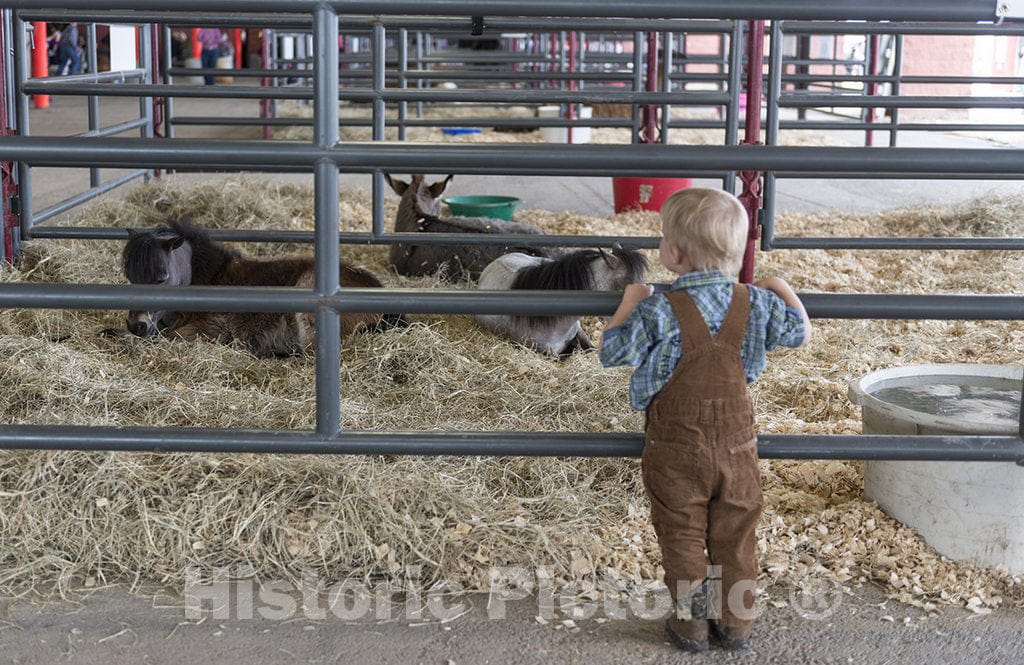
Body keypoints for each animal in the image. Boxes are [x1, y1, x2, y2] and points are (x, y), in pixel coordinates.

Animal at [121, 218, 401, 354]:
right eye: (130, 277)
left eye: (162, 277)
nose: (137, 325)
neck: (210, 279)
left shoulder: (213, 327)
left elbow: (169, 337)